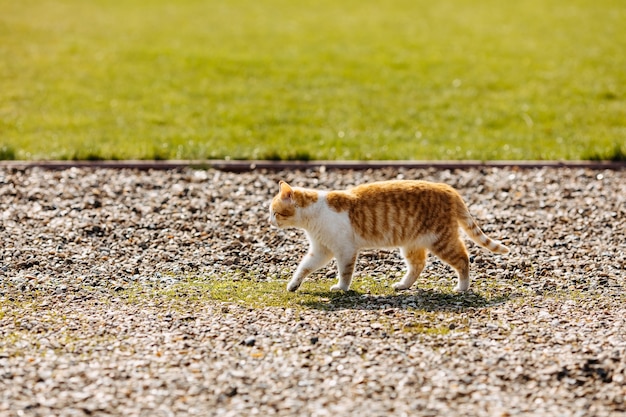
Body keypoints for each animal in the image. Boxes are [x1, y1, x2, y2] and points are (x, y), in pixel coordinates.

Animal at [268, 180, 508, 292]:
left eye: (275, 212)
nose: (269, 222)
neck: (314, 215)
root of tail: (448, 188)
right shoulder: (321, 250)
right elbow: (304, 267)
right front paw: (294, 285)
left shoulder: (345, 250)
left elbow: (345, 272)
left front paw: (341, 288)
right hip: (412, 244)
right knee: (418, 265)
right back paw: (403, 285)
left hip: (441, 240)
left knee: (463, 259)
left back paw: (462, 287)